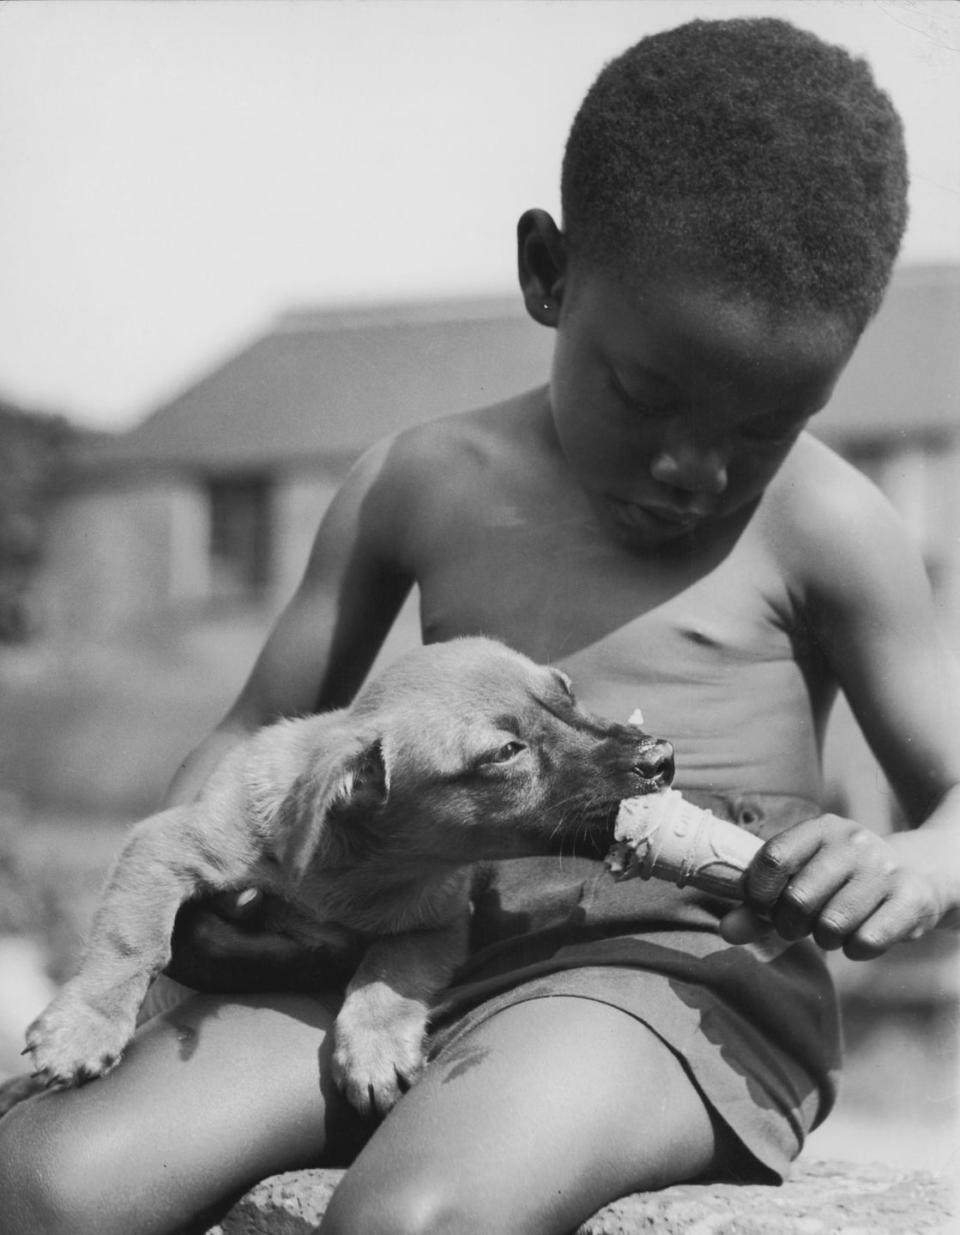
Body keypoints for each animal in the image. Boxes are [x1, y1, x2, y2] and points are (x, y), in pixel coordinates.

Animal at [22, 642, 672, 1116]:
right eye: (506, 751)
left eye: (569, 694)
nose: (660, 757)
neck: (357, 865)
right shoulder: (164, 845)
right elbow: (132, 939)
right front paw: (84, 1028)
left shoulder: (435, 924)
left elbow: (388, 973)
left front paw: (375, 1047)